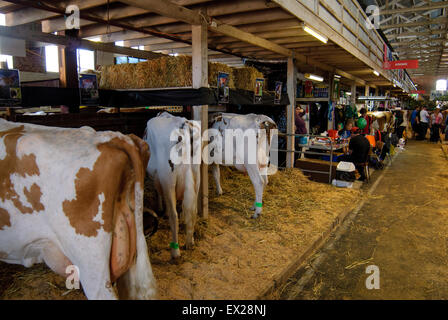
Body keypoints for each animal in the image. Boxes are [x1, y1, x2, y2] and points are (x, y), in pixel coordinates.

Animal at [144, 112, 201, 260]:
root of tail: (183, 123)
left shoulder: (156, 176)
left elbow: (157, 192)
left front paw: (159, 208)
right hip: (196, 175)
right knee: (193, 209)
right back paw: (190, 241)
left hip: (168, 179)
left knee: (173, 215)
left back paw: (175, 252)